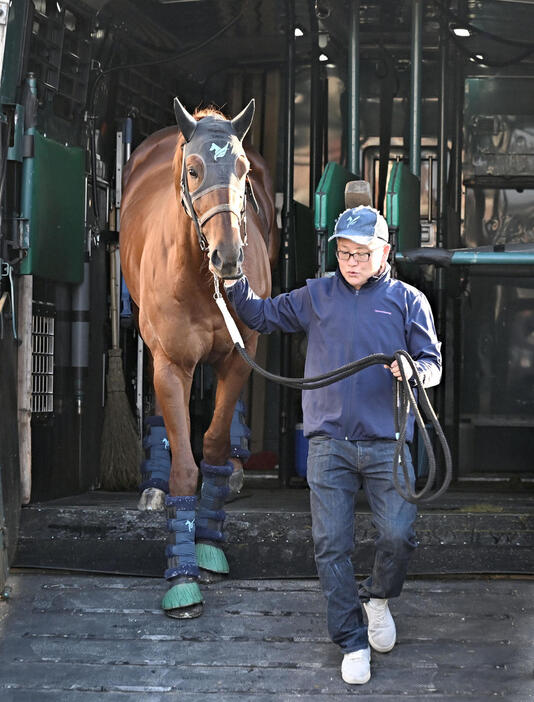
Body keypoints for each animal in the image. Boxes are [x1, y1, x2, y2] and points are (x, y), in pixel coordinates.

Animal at [121, 100, 280, 620]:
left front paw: (209, 545)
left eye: (243, 169)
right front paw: (183, 577)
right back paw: (152, 485)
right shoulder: (171, 364)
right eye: (193, 169)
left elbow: (210, 446)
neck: (195, 273)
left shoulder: (238, 359)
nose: (229, 258)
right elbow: (185, 469)